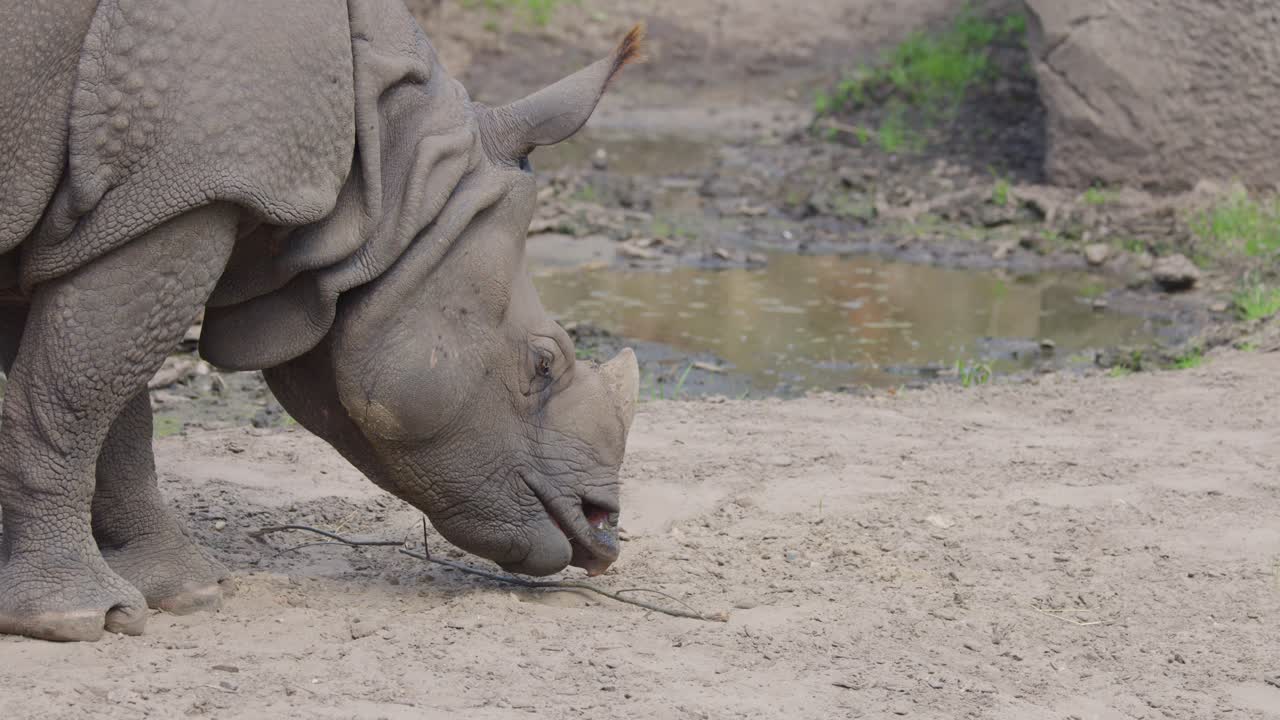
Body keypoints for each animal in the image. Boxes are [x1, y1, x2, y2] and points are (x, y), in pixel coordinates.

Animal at [0, 0, 644, 642]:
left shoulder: (122, 213)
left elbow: (107, 404)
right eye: (544, 362)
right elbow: (78, 395)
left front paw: (185, 591)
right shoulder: (188, 188)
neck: (391, 178)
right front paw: (74, 618)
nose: (603, 527)